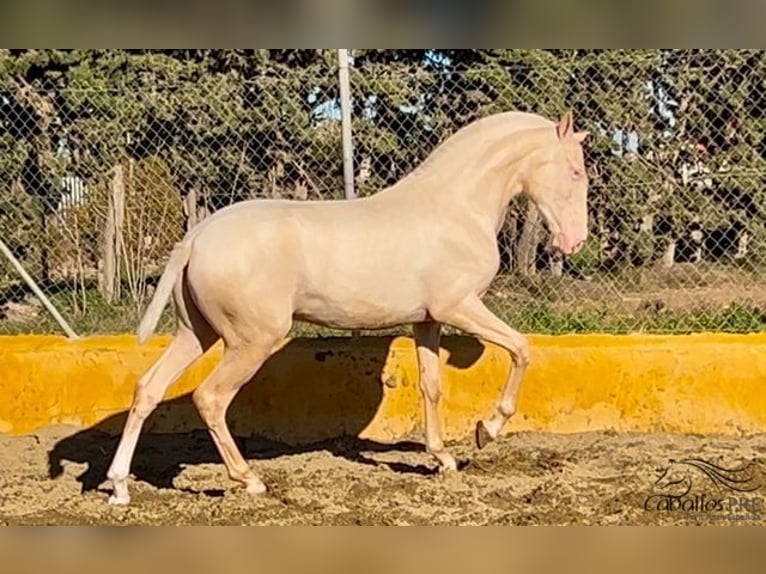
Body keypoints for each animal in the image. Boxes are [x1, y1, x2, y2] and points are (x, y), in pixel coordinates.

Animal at [105, 110, 592, 506]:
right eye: (574, 171)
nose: (574, 242)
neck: (456, 208)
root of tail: (196, 237)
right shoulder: (459, 307)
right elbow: (521, 348)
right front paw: (484, 432)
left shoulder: (428, 321)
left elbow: (432, 386)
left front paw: (442, 459)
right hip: (250, 341)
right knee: (210, 398)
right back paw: (250, 480)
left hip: (197, 334)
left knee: (147, 388)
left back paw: (120, 487)